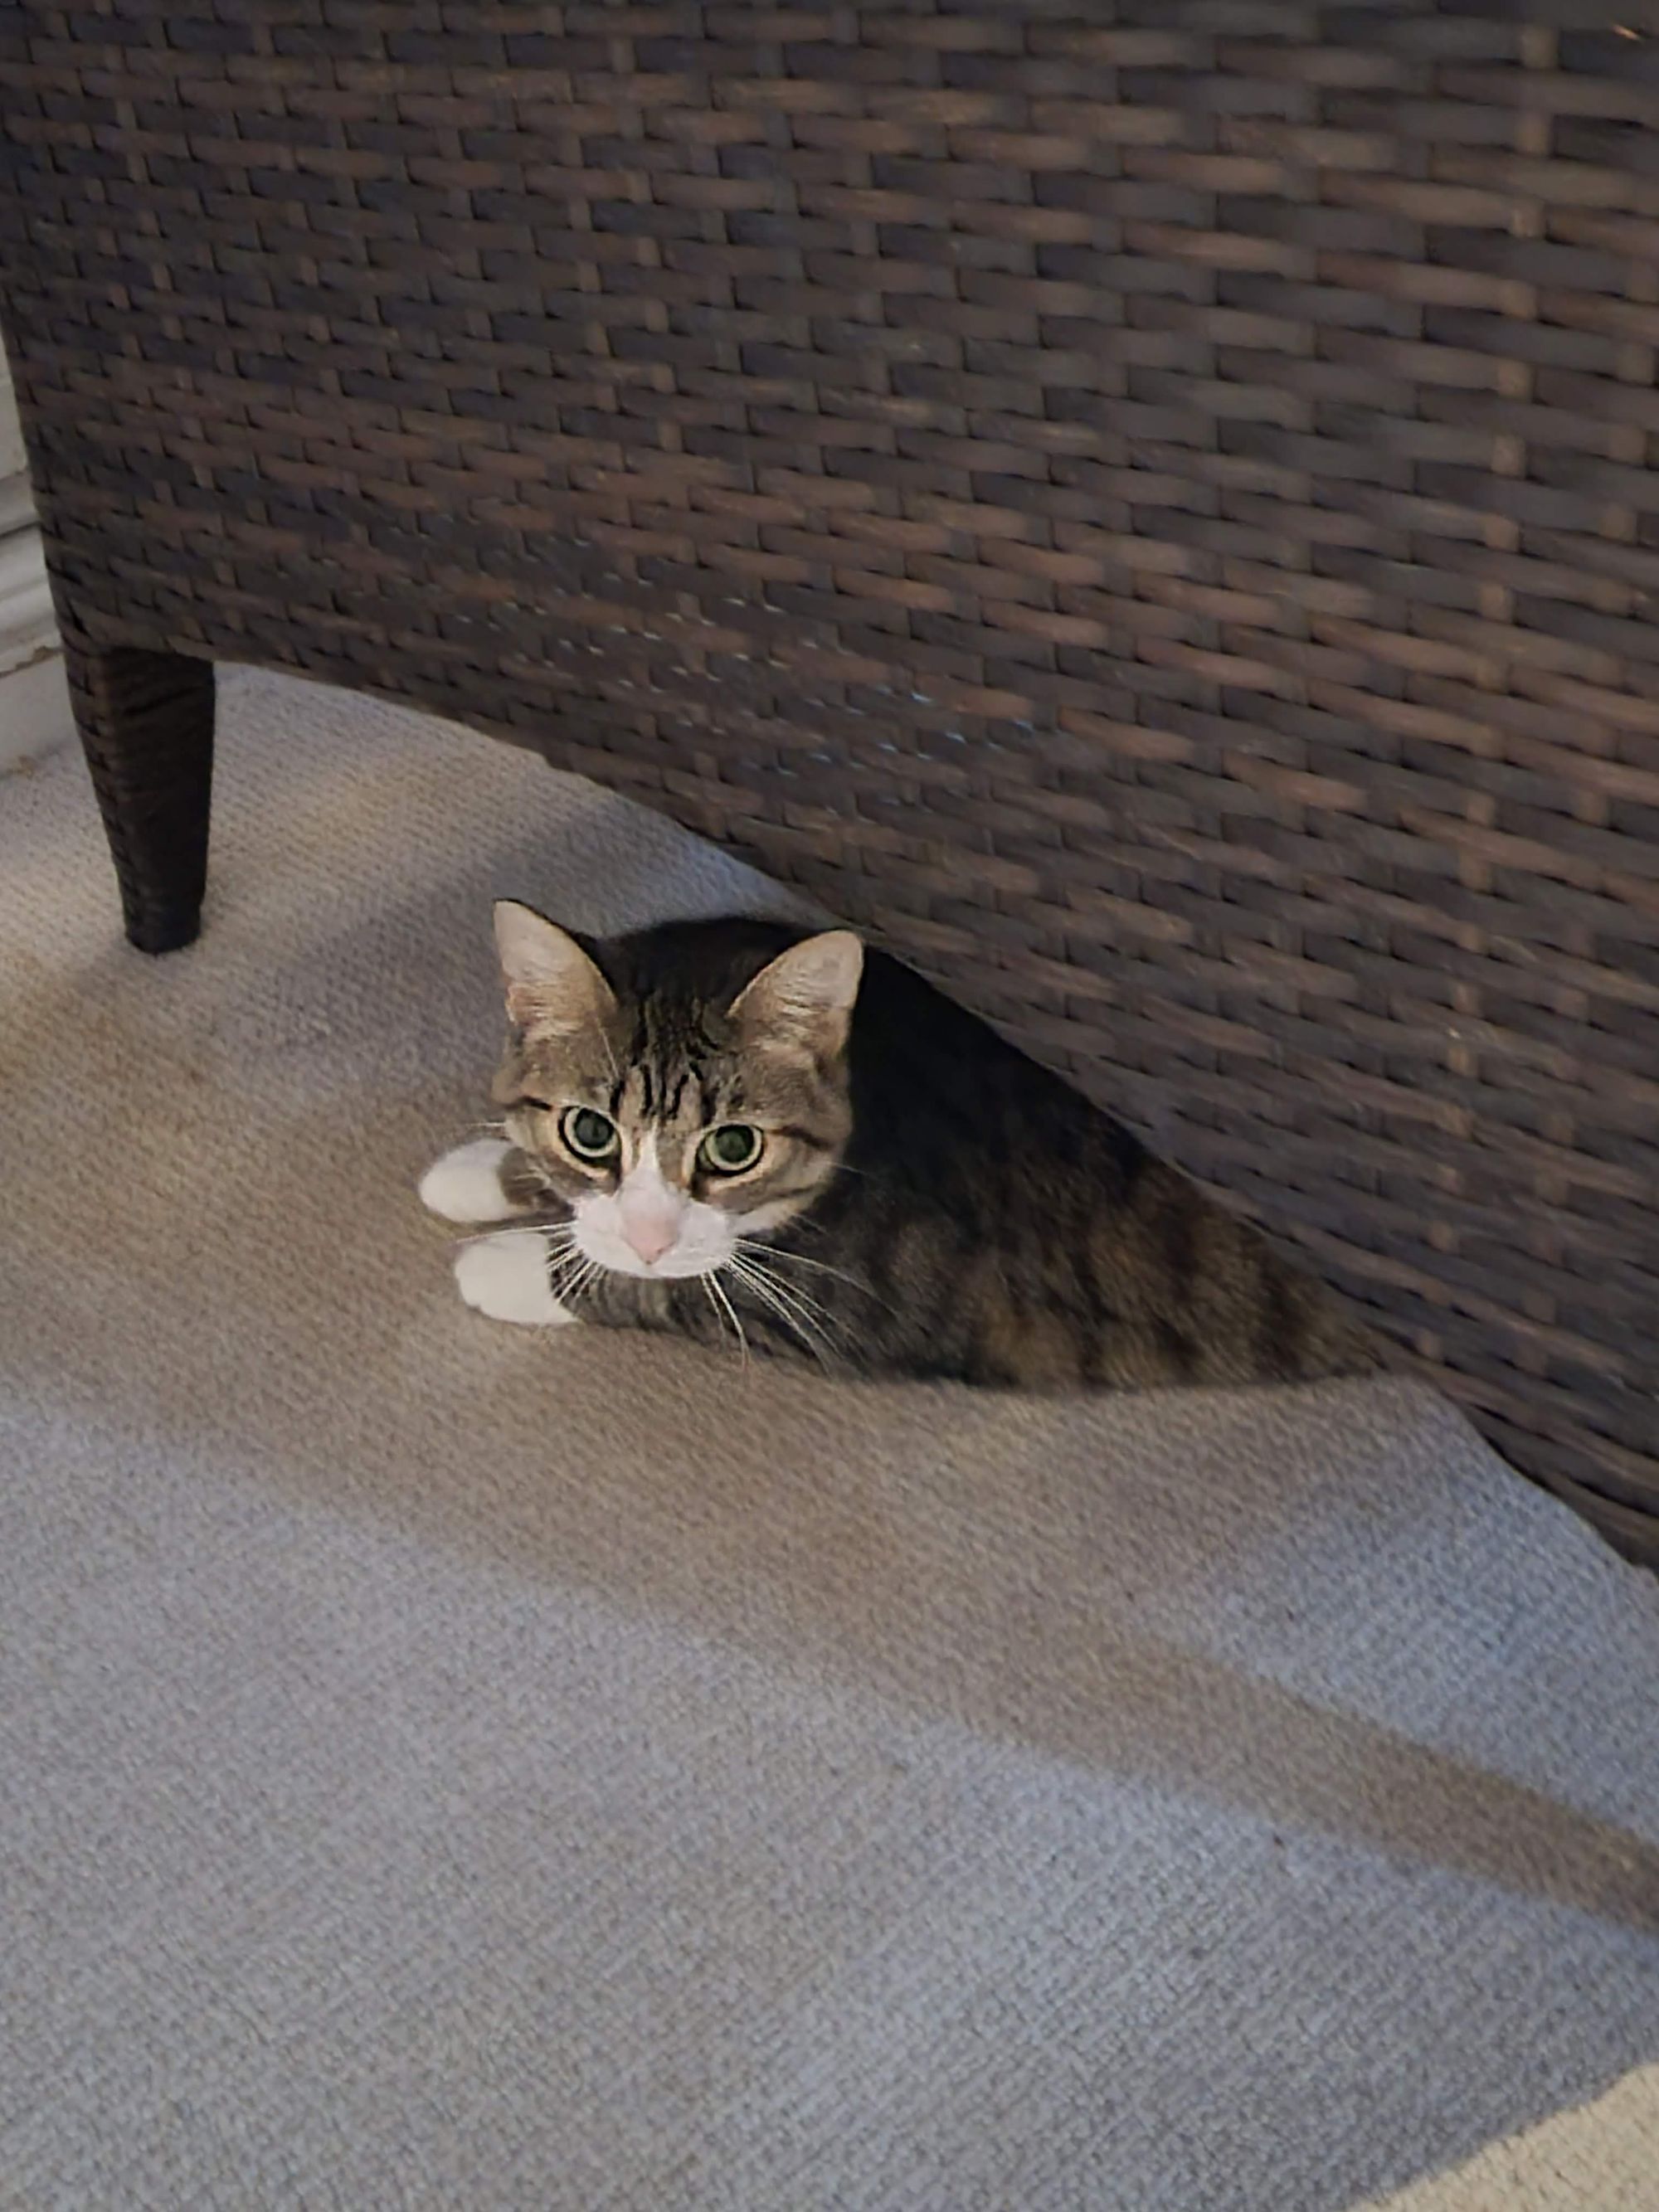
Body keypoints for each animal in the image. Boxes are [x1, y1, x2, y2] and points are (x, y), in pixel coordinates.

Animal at [422, 893, 1380, 1380]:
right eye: (590, 1131)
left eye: (733, 1148)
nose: (647, 1233)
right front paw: (487, 1170)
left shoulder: (889, 1295)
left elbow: (685, 1288)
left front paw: (512, 1262)